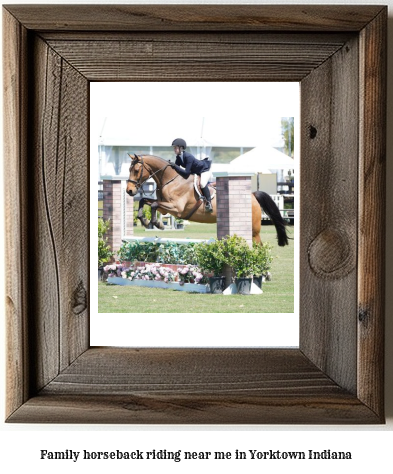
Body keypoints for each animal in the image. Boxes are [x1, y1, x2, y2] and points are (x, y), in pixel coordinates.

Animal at [125, 155, 288, 246]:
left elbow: (152, 204)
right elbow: (145, 201)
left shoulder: (176, 208)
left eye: (136, 170)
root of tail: (253, 195)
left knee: (259, 245)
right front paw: (145, 221)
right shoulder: (165, 208)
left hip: (254, 230)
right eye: (129, 169)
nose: (129, 191)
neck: (170, 179)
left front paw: (156, 223)